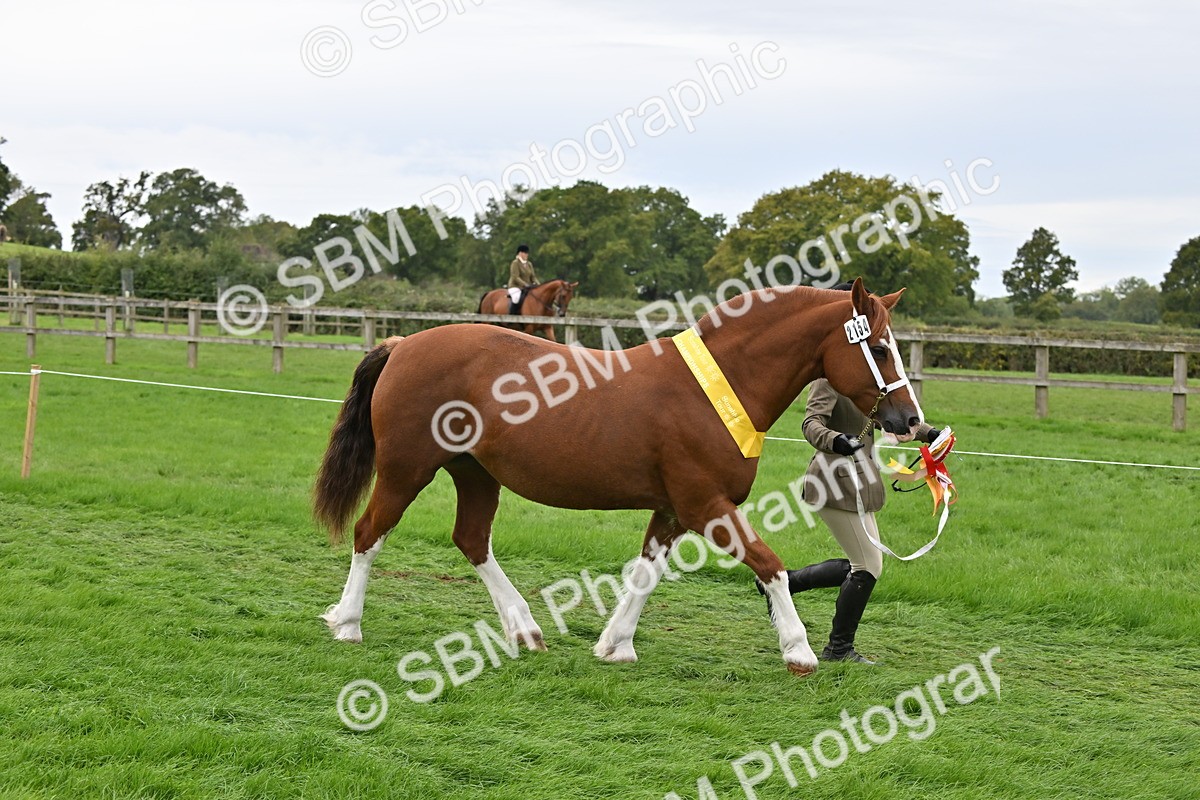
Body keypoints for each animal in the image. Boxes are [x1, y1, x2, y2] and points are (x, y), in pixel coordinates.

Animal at [314, 278, 923, 676]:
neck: (720, 387)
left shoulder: (674, 509)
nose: (911, 421)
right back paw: (347, 622)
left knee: (472, 540)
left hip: (475, 473)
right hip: (405, 470)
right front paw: (799, 650)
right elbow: (770, 565)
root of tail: (403, 345)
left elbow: (646, 574)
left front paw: (616, 644)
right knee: (369, 534)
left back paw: (523, 628)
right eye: (877, 346)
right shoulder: (706, 504)